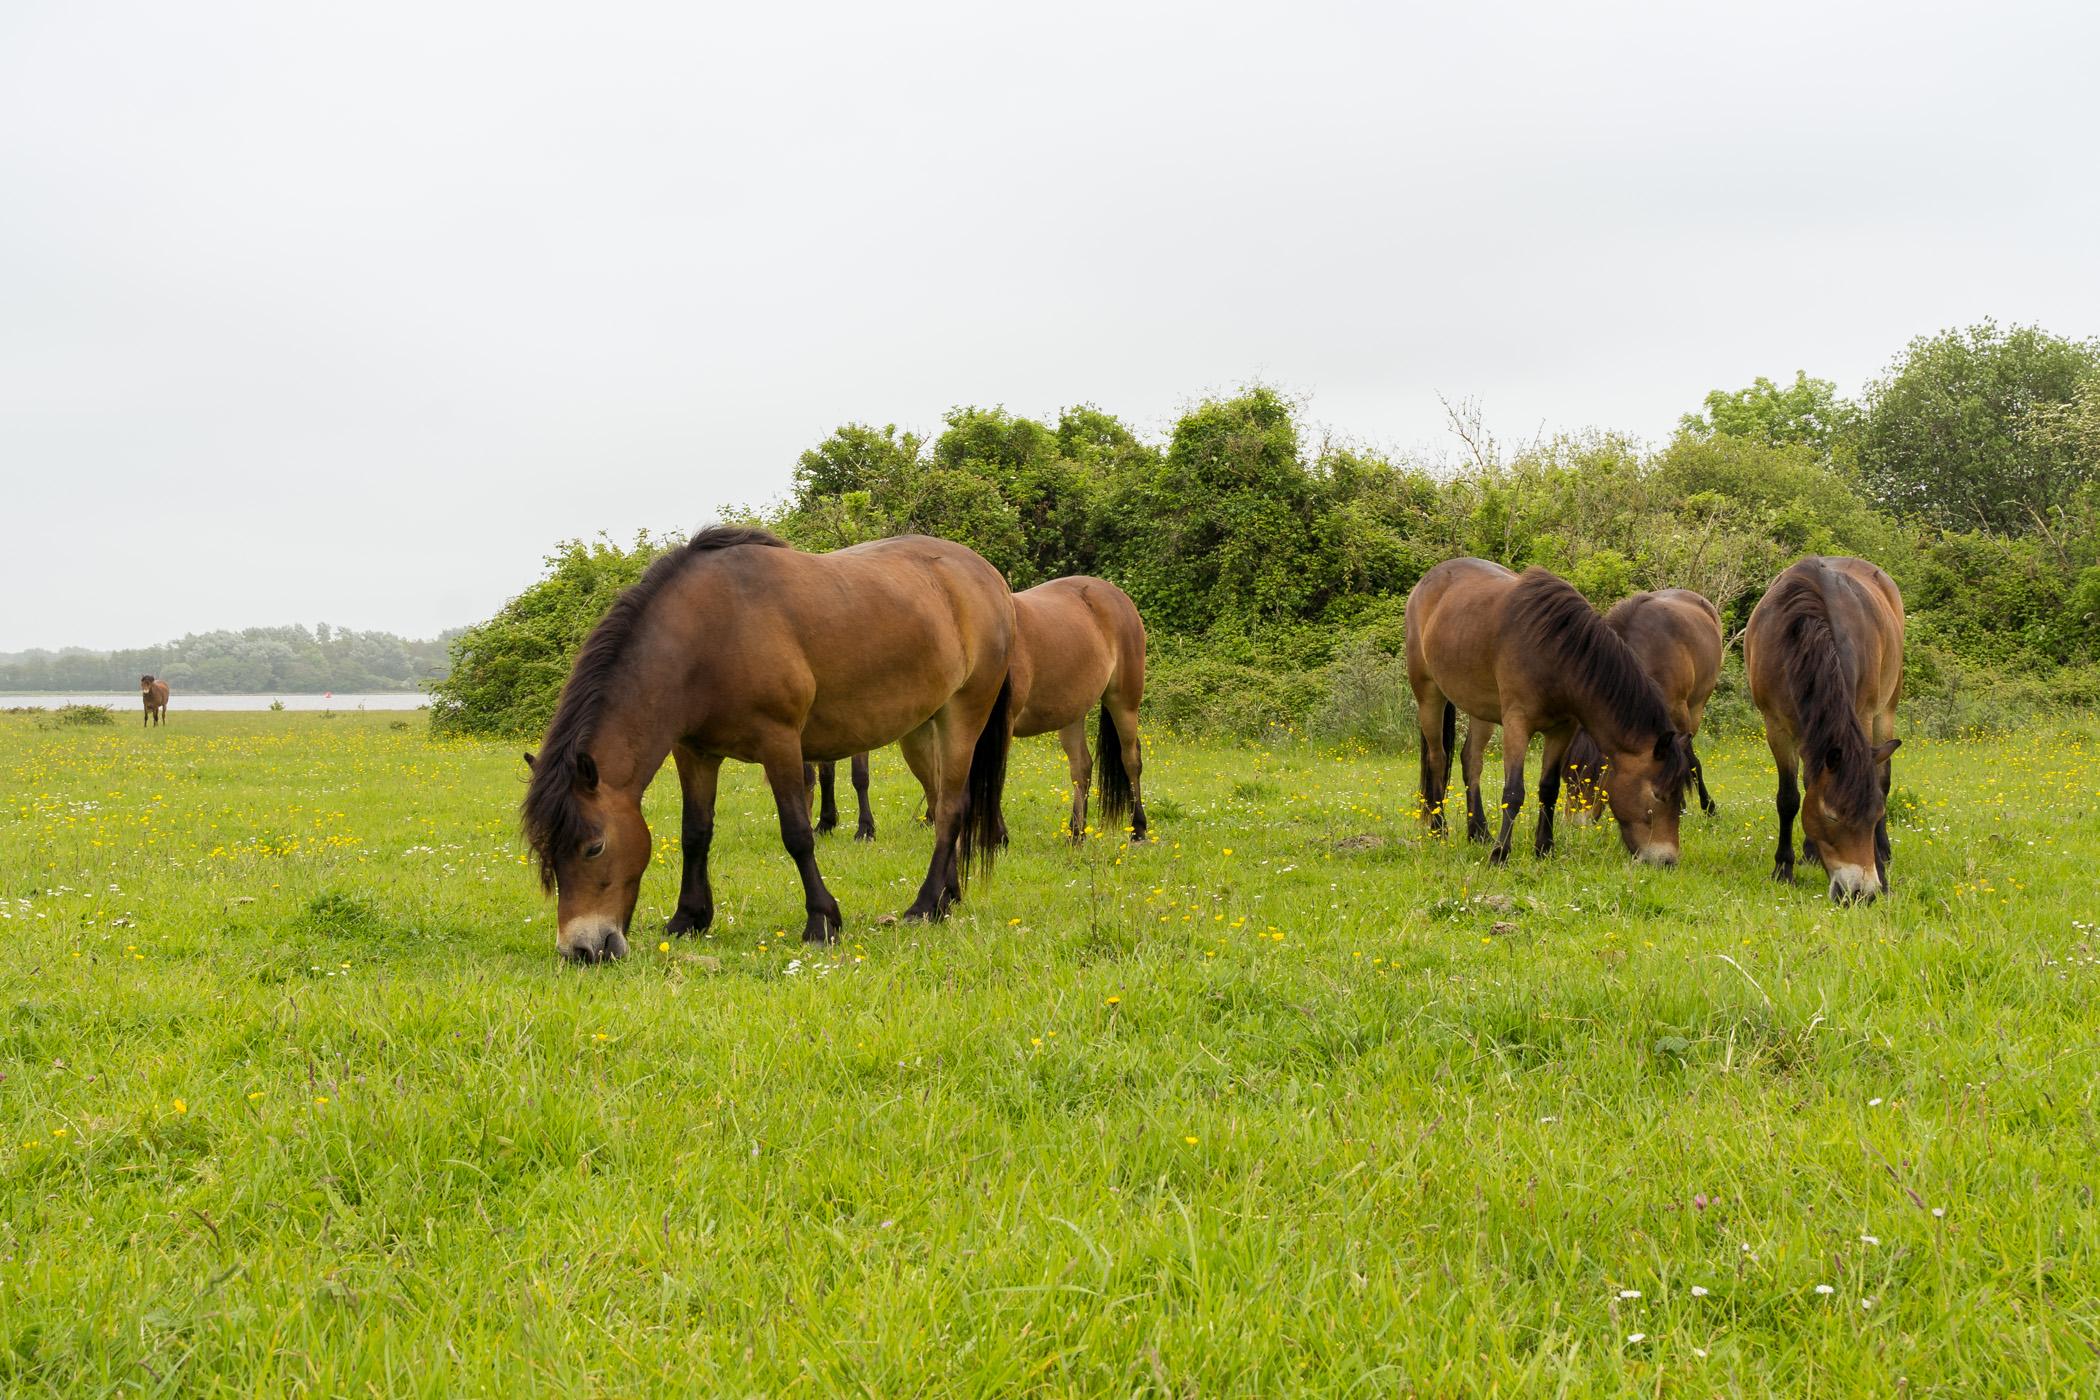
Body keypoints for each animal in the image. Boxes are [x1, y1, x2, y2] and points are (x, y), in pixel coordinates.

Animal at [525, 528, 1016, 965]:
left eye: (594, 848)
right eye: (547, 854)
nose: (581, 950)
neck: (707, 635)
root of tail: (988, 576)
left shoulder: (779, 742)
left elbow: (797, 834)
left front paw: (822, 921)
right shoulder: (695, 752)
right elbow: (694, 833)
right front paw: (689, 918)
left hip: (963, 715)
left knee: (950, 809)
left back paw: (924, 904)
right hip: (924, 728)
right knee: (942, 801)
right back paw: (948, 896)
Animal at [802, 579, 1150, 843]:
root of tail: (1114, 595)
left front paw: (995, 836)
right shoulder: (928, 729)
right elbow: (936, 778)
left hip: (1124, 702)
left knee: (1131, 760)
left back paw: (1139, 830)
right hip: (1071, 713)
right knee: (1081, 767)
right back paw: (1076, 833)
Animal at [1402, 558, 1696, 864]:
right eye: (1658, 795)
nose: (1666, 860)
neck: (1555, 652)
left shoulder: (1561, 730)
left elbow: (1549, 788)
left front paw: (1544, 847)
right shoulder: (1517, 724)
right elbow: (1514, 791)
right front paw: (1500, 854)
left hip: (1480, 709)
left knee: (1471, 760)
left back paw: (1478, 831)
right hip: (1428, 695)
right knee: (1437, 759)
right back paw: (1439, 829)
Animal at [1562, 587, 1721, 826]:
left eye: (1597, 776)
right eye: (1566, 778)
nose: (1576, 824)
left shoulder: (1680, 717)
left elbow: (1691, 763)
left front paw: (1708, 808)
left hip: (1696, 707)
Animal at [1738, 554, 1906, 902]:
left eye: (1876, 814)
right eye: (1831, 815)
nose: (1862, 893)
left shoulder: (1863, 716)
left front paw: (1881, 871)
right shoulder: (1776, 727)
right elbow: (1789, 798)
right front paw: (1783, 868)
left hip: (1886, 710)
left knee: (1883, 777)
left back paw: (1883, 851)